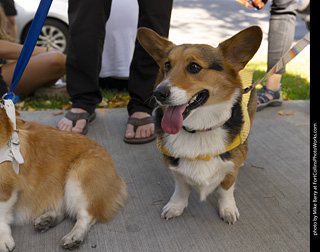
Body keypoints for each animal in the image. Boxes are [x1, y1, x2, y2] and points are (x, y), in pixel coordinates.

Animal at [0, 105, 127, 251]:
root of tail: (117, 175)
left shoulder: (5, 188)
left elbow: (1, 216)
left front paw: (3, 240)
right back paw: (48, 220)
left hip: (78, 177)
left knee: (86, 215)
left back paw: (74, 236)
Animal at [138, 26, 262, 224]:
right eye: (167, 66)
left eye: (194, 67)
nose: (158, 93)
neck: (198, 129)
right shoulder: (174, 167)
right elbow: (181, 188)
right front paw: (176, 206)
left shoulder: (229, 172)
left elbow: (226, 189)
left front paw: (228, 209)